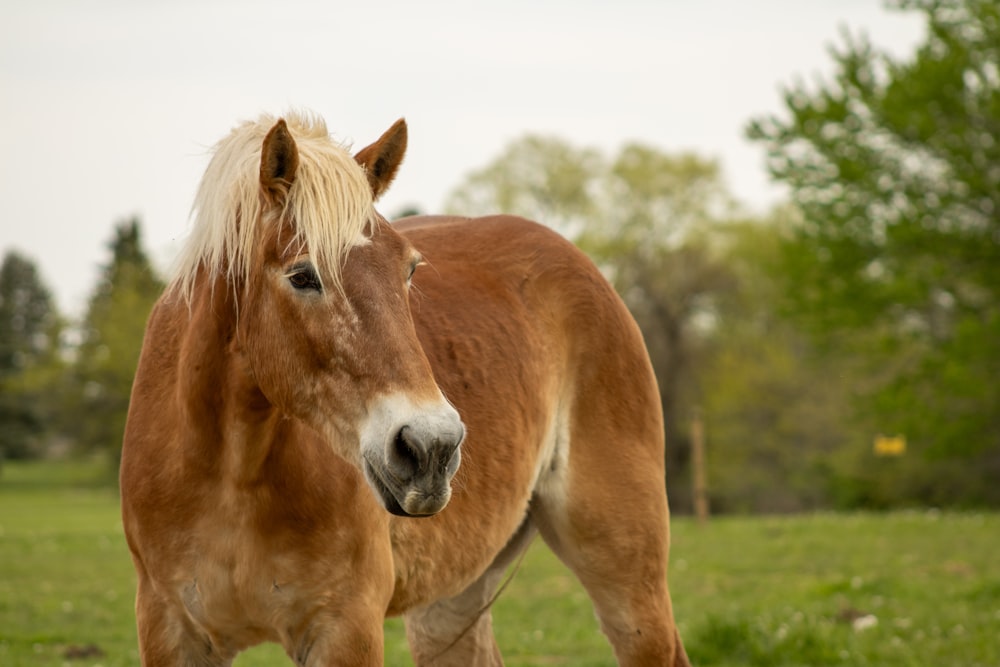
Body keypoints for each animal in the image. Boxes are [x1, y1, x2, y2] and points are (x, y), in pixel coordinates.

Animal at [119, 112, 688, 664]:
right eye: (303, 276)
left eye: (409, 270)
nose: (431, 447)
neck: (229, 476)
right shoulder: (169, 631)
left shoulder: (346, 630)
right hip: (450, 606)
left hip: (627, 583)